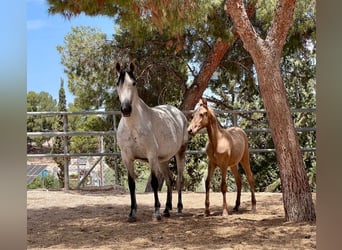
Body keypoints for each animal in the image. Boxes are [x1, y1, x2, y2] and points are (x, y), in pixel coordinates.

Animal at [116, 62, 188, 223]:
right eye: (118, 84)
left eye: (134, 83)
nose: (126, 109)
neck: (133, 126)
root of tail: (177, 113)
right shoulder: (127, 158)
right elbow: (131, 184)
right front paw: (132, 213)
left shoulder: (151, 155)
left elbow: (154, 183)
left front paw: (156, 212)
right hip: (163, 160)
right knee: (169, 180)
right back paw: (167, 209)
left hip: (180, 153)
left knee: (179, 180)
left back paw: (179, 209)